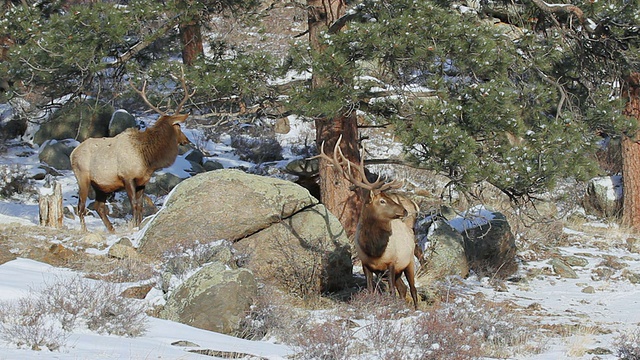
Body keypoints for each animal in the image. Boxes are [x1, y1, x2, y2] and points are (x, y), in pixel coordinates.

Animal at [70, 76, 194, 233]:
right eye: (178, 126)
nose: (186, 140)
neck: (148, 158)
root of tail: (72, 153)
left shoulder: (142, 181)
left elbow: (140, 205)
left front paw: (139, 225)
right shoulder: (127, 176)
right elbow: (134, 204)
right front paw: (134, 227)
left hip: (101, 185)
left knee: (99, 207)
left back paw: (112, 230)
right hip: (82, 177)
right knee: (80, 207)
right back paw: (85, 231)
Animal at [316, 136, 420, 310]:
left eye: (390, 197)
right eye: (383, 201)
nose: (404, 211)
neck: (375, 251)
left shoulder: (392, 262)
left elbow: (391, 292)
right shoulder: (366, 264)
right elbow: (371, 289)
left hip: (409, 261)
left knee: (413, 289)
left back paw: (417, 309)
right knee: (403, 288)